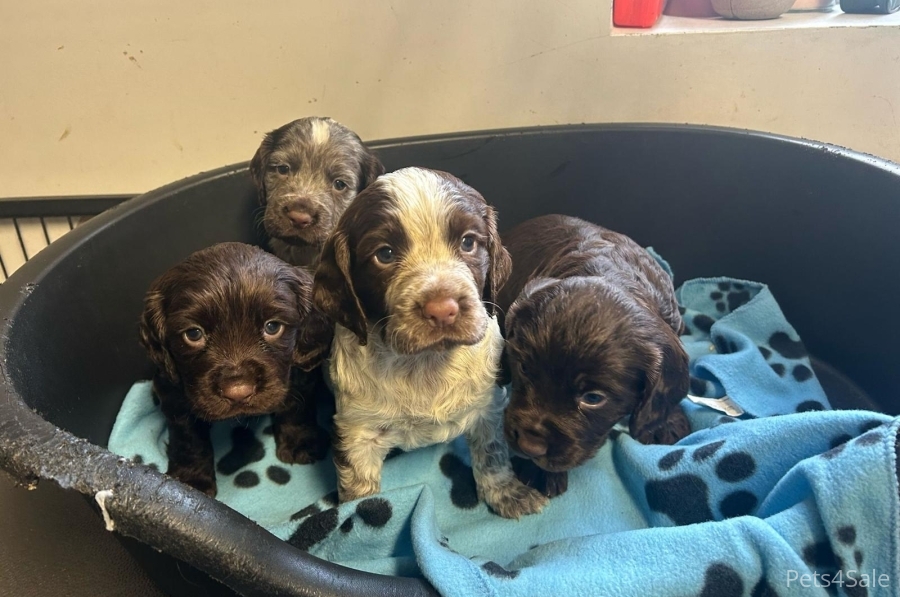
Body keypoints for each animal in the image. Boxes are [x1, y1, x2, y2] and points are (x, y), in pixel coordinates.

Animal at [137, 240, 326, 496]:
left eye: (272, 327)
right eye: (193, 334)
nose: (238, 392)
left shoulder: (299, 373)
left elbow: (297, 407)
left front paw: (300, 443)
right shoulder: (173, 390)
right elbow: (187, 436)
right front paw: (191, 481)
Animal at [312, 166, 552, 516]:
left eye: (468, 243)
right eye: (384, 254)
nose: (442, 310)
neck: (425, 364)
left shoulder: (488, 409)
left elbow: (492, 456)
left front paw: (508, 493)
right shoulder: (356, 432)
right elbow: (358, 490)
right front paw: (357, 521)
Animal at [500, 214, 688, 498]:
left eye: (593, 398)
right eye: (524, 368)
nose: (530, 446)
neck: (612, 274)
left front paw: (663, 423)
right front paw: (538, 472)